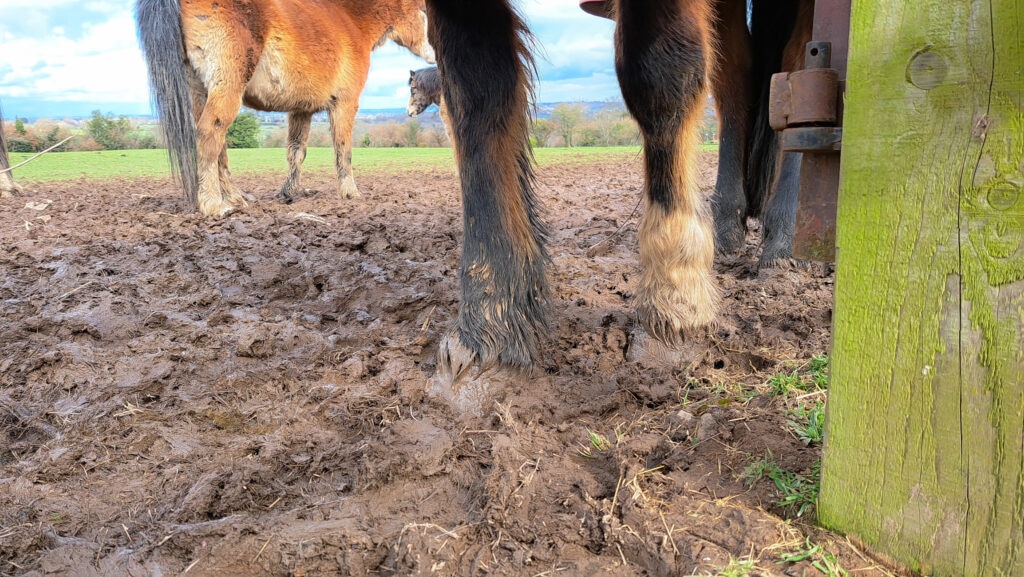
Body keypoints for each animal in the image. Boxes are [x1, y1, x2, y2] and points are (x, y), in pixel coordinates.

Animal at [136, 0, 436, 216]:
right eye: (425, 10)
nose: (437, 53)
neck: (349, 20)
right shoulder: (345, 103)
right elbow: (343, 149)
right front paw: (350, 193)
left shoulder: (301, 109)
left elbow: (296, 151)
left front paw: (291, 193)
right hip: (226, 87)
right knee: (210, 135)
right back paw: (215, 205)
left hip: (200, 91)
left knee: (218, 146)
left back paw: (235, 198)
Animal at [424, 0, 813, 413]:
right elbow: (475, 95)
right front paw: (487, 330)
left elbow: (658, 75)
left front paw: (675, 304)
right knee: (735, 77)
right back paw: (725, 227)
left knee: (798, 67)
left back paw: (785, 240)